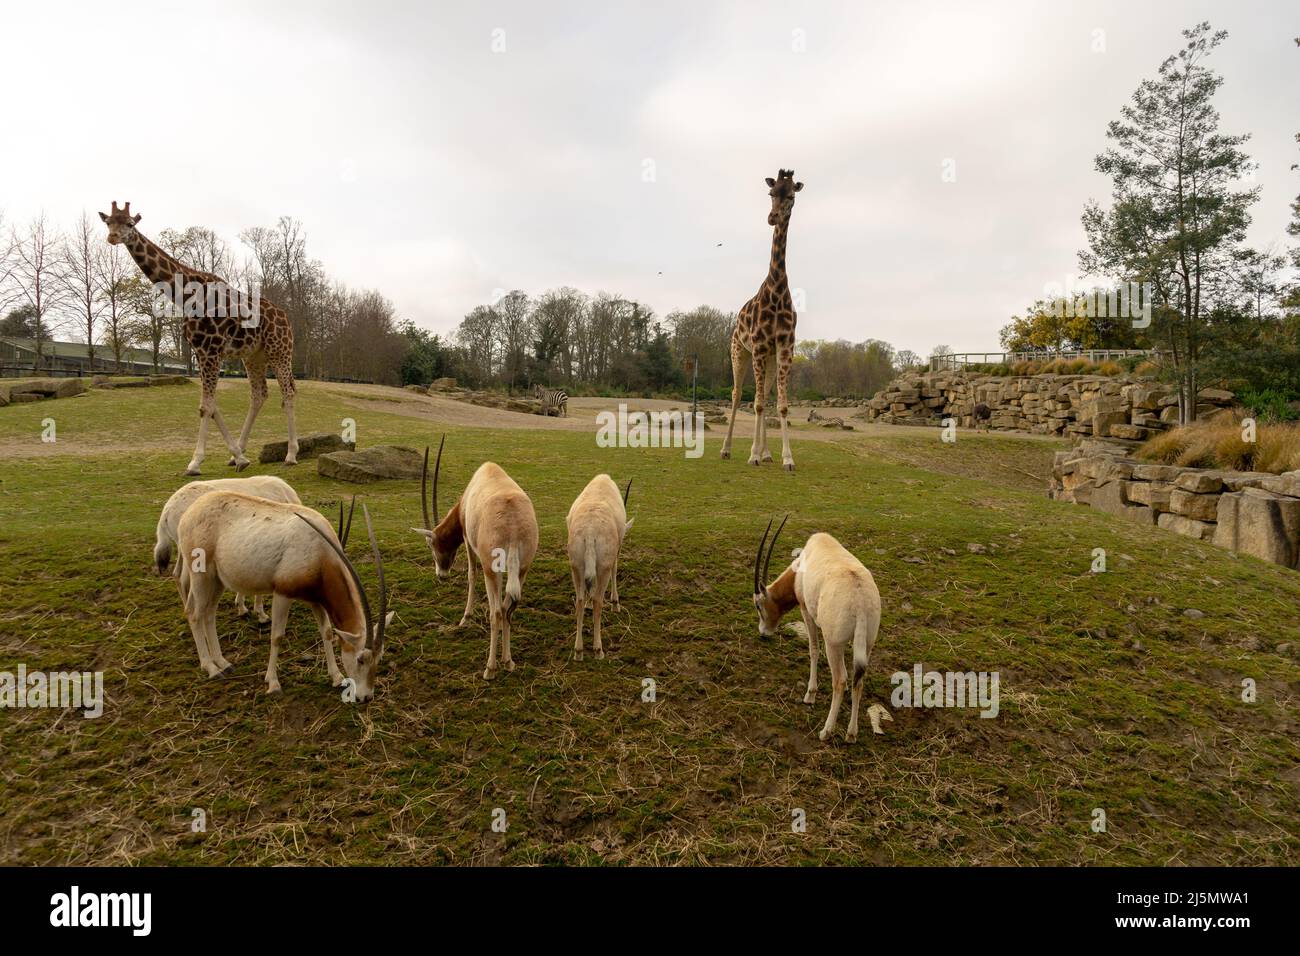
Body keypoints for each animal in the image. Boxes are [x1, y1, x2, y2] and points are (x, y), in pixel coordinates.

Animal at [99, 201, 299, 476]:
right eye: (108, 222)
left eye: (130, 224)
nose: (113, 237)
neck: (185, 295)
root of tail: (287, 319)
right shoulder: (201, 352)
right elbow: (211, 406)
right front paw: (238, 457)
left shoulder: (211, 350)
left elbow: (207, 407)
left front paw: (195, 463)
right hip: (253, 356)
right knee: (259, 395)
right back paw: (242, 451)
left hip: (279, 351)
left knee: (288, 392)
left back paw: (291, 454)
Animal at [722, 171, 800, 476]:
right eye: (770, 193)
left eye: (791, 195)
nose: (772, 217)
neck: (777, 290)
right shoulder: (757, 346)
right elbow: (753, 404)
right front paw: (752, 454)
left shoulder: (785, 347)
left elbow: (780, 406)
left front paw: (786, 458)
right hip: (738, 351)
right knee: (735, 395)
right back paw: (727, 449)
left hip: (768, 358)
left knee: (764, 397)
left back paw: (767, 453)